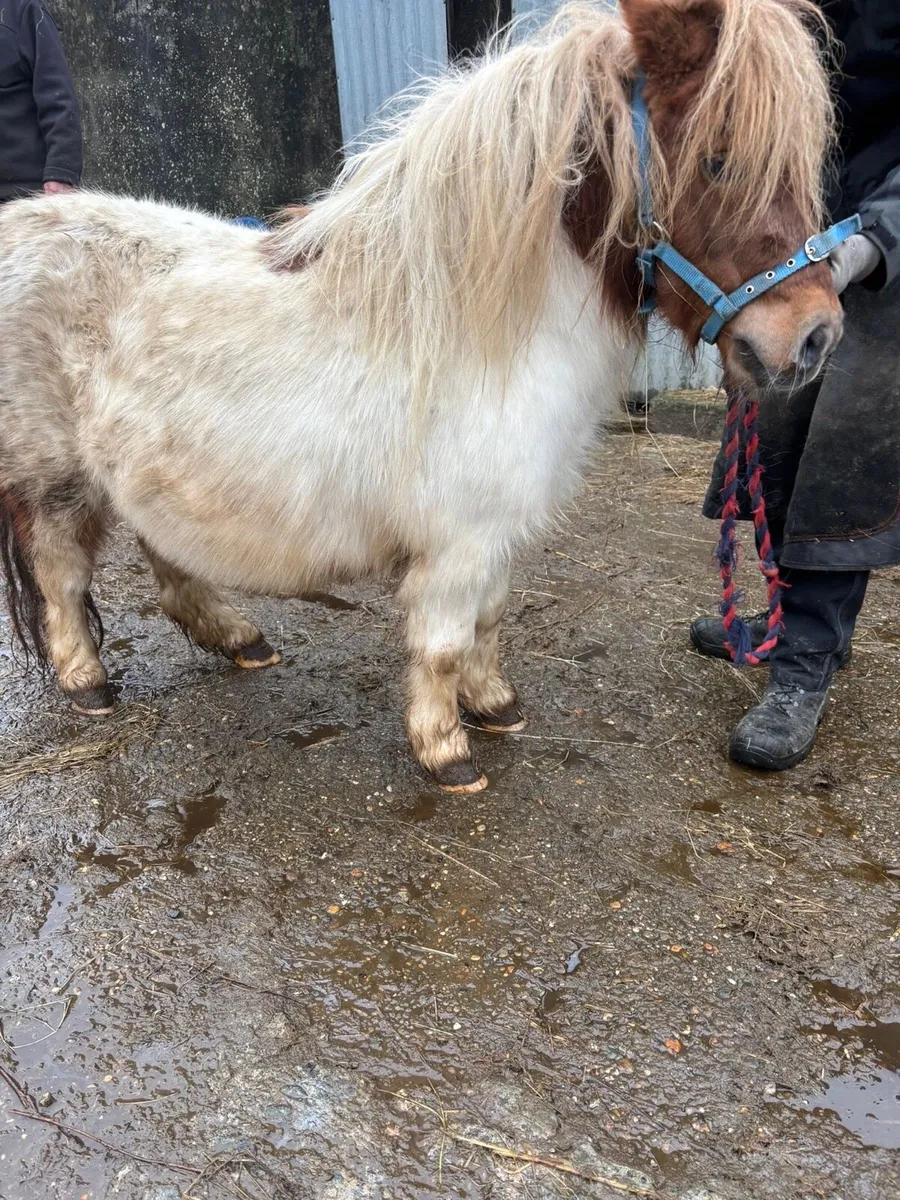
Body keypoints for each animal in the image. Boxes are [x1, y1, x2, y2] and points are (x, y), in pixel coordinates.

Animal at [0, 0, 840, 793]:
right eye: (719, 160)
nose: (815, 337)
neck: (481, 330)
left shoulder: (497, 533)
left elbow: (488, 623)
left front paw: (495, 705)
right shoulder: (458, 541)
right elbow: (440, 645)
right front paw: (446, 751)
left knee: (167, 559)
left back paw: (240, 640)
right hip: (57, 483)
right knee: (60, 575)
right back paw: (88, 684)